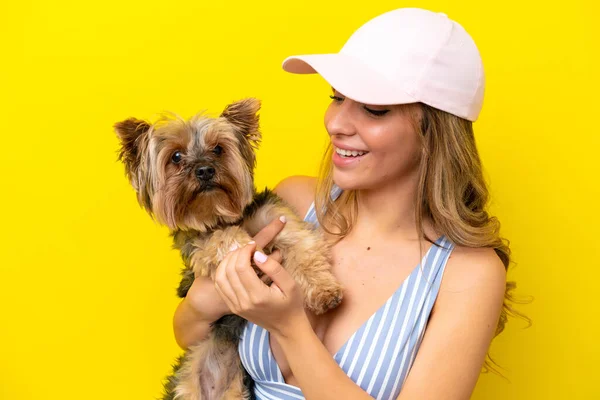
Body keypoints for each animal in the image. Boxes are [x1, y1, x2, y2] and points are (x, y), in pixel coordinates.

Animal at [113, 97, 342, 400]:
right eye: (176, 156)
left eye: (218, 149)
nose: (205, 170)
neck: (221, 213)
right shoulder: (200, 244)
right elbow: (222, 239)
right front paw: (245, 249)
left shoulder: (276, 218)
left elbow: (303, 248)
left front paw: (324, 291)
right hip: (186, 387)